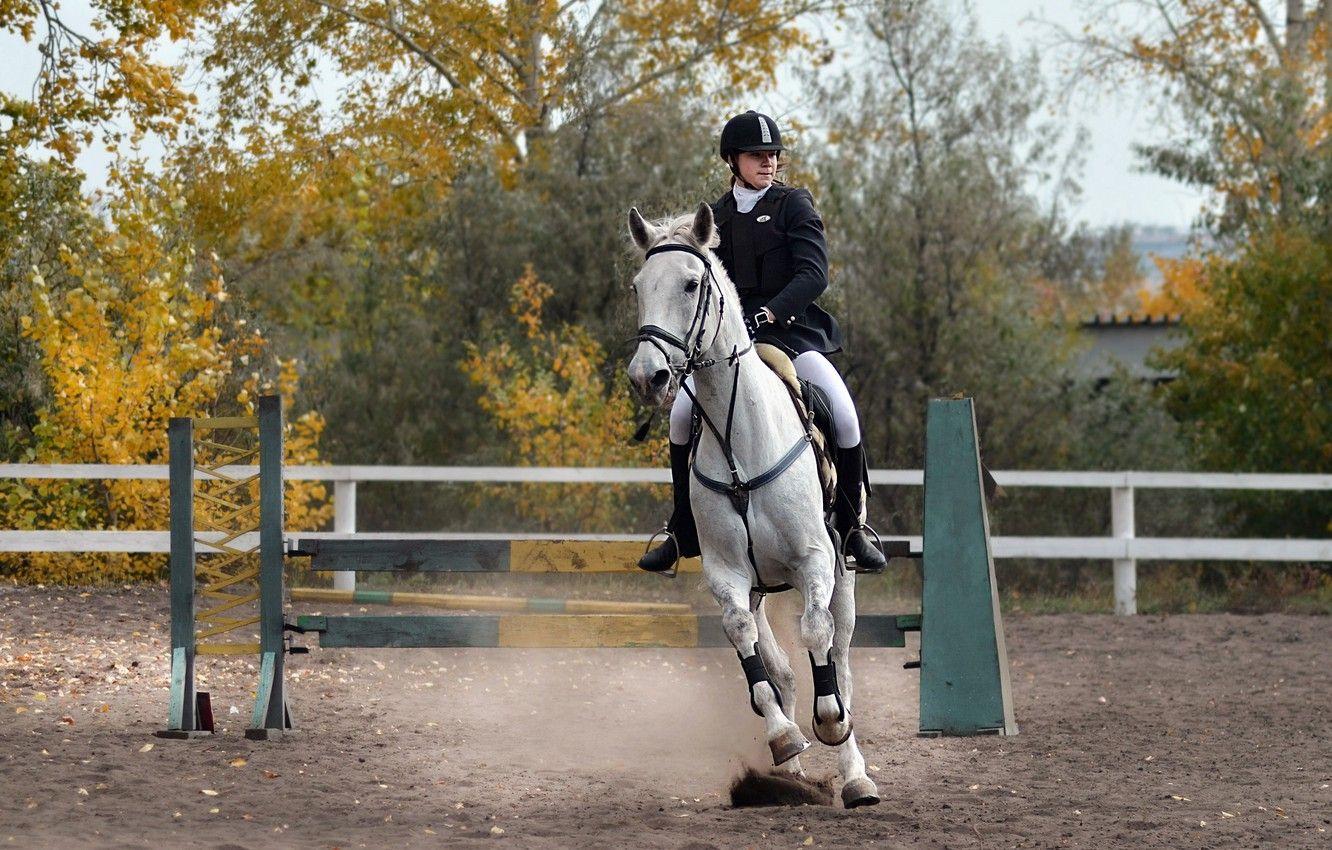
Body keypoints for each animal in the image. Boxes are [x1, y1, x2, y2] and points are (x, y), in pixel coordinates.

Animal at [625, 203, 880, 809]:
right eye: (639, 286)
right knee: (782, 669)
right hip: (763, 585)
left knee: (841, 657)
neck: (740, 434)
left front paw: (829, 723)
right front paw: (784, 739)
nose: (648, 377)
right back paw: (789, 776)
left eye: (691, 284)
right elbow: (747, 643)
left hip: (843, 572)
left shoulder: (815, 561)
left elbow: (817, 637)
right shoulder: (727, 575)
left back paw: (855, 775)